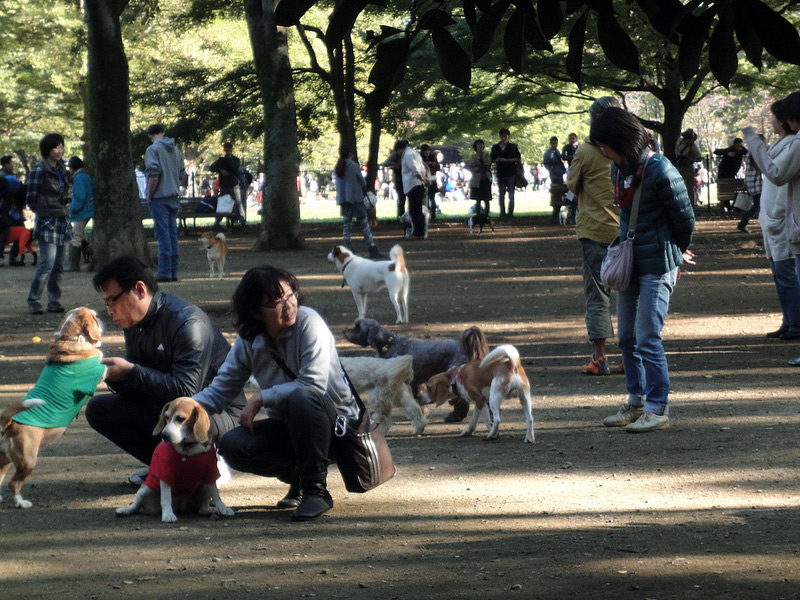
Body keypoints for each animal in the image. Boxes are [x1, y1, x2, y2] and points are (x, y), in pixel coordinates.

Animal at [0, 308, 106, 508]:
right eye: (95, 316)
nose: (103, 319)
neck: (71, 338)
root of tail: (8, 423)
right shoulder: (99, 373)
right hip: (27, 460)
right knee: (13, 483)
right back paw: (21, 502)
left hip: (5, 459)